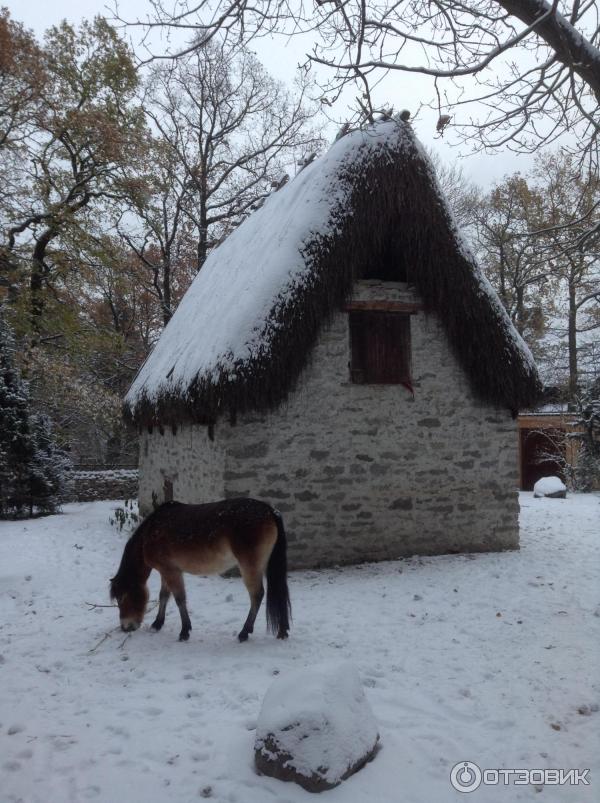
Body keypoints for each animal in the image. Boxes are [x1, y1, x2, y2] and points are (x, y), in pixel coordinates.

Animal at [112, 500, 292, 644]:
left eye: (122, 597)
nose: (125, 627)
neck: (151, 532)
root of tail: (270, 510)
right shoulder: (167, 571)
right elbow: (164, 596)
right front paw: (157, 624)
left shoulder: (171, 572)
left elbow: (179, 599)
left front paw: (184, 632)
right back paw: (282, 631)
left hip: (249, 567)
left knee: (257, 595)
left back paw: (244, 632)